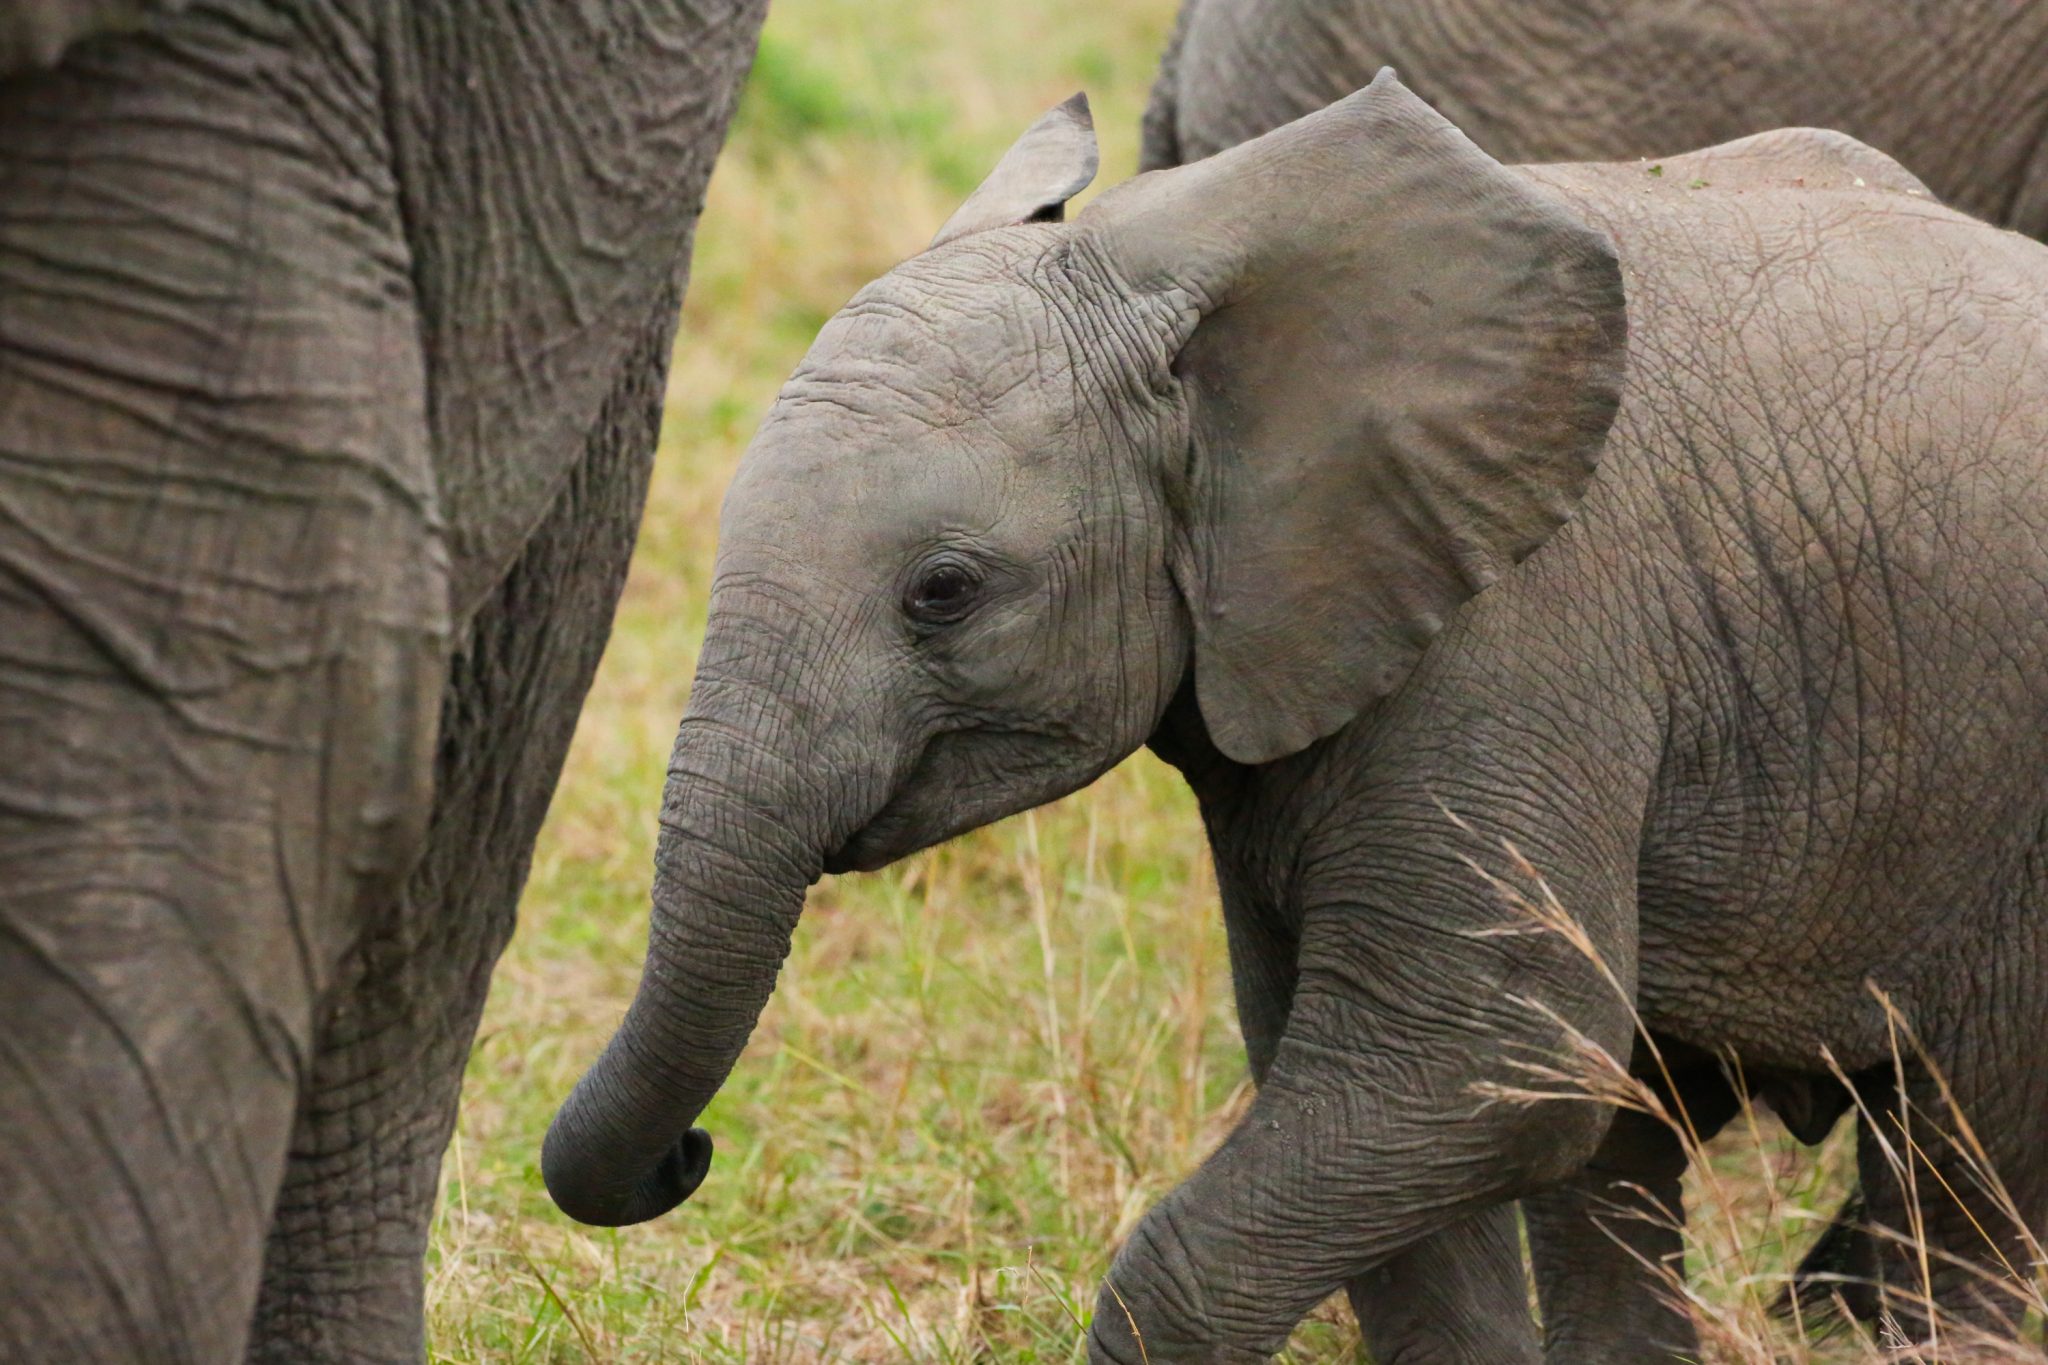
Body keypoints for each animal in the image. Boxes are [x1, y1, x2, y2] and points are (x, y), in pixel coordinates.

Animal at [541, 75, 2048, 1363]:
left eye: (943, 594)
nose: (691, 1156)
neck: (1168, 256)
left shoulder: (1519, 635)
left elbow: (1477, 1057)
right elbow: (1385, 1095)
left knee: (1965, 1163)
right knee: (1632, 1170)